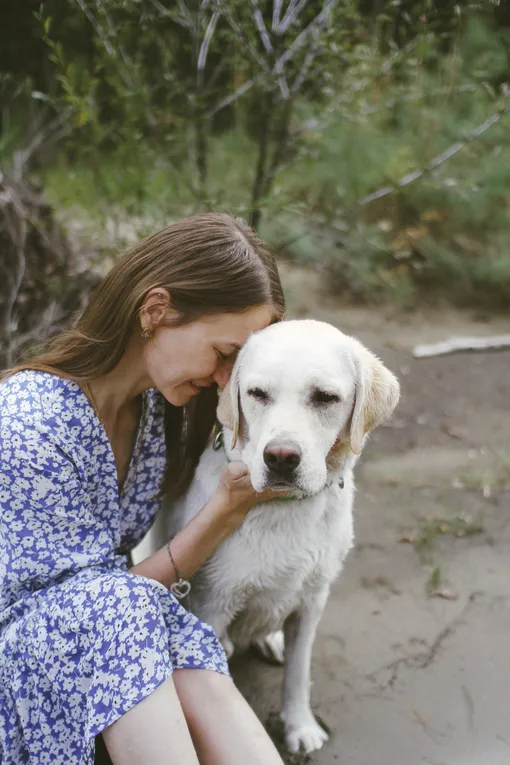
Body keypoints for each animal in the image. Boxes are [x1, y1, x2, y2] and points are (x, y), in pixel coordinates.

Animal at [137, 320, 400, 756]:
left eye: (325, 397)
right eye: (258, 393)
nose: (279, 457)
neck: (286, 510)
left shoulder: (312, 603)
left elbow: (298, 674)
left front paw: (300, 726)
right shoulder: (214, 604)